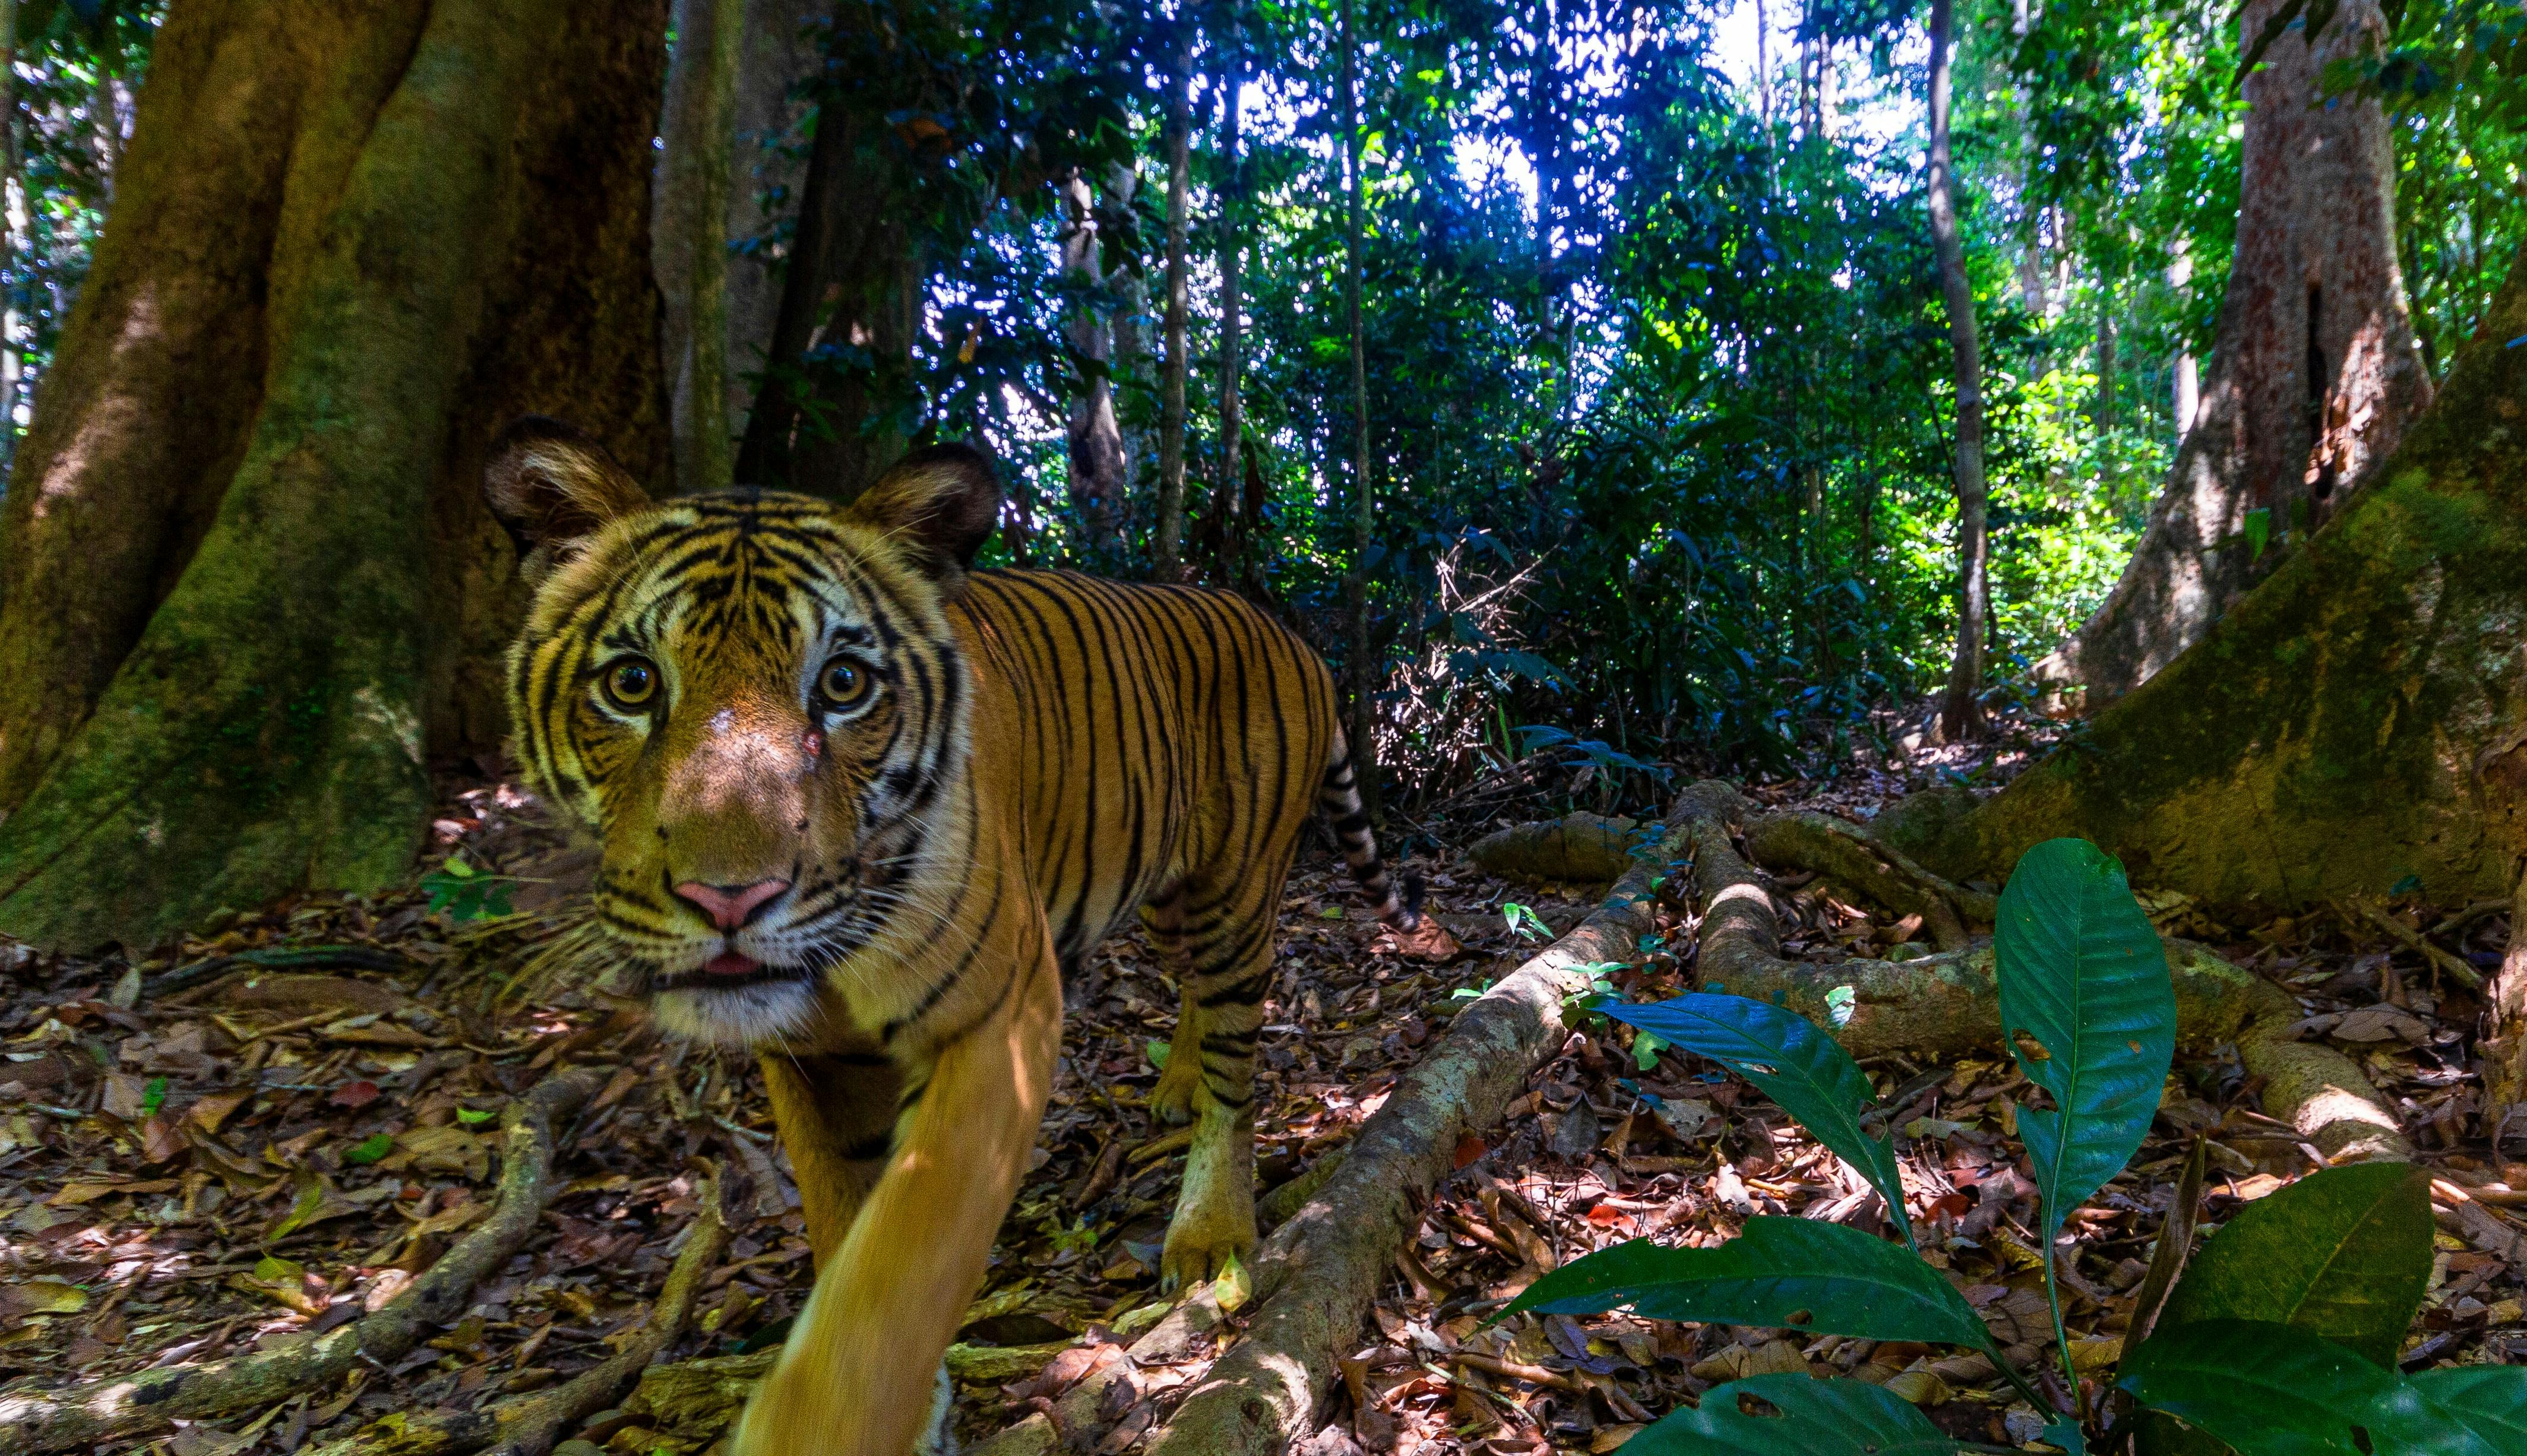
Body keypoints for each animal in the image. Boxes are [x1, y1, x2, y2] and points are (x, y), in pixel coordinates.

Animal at [482, 418, 1425, 1456]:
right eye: (631, 684)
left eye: (842, 684)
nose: (729, 900)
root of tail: (1280, 627)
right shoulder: (805, 1061)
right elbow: (841, 1226)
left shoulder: (997, 1020)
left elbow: (900, 1265)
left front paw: (825, 1424)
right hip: (1167, 893)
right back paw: (1173, 1085)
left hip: (1231, 893)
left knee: (1234, 1066)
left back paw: (1209, 1232)